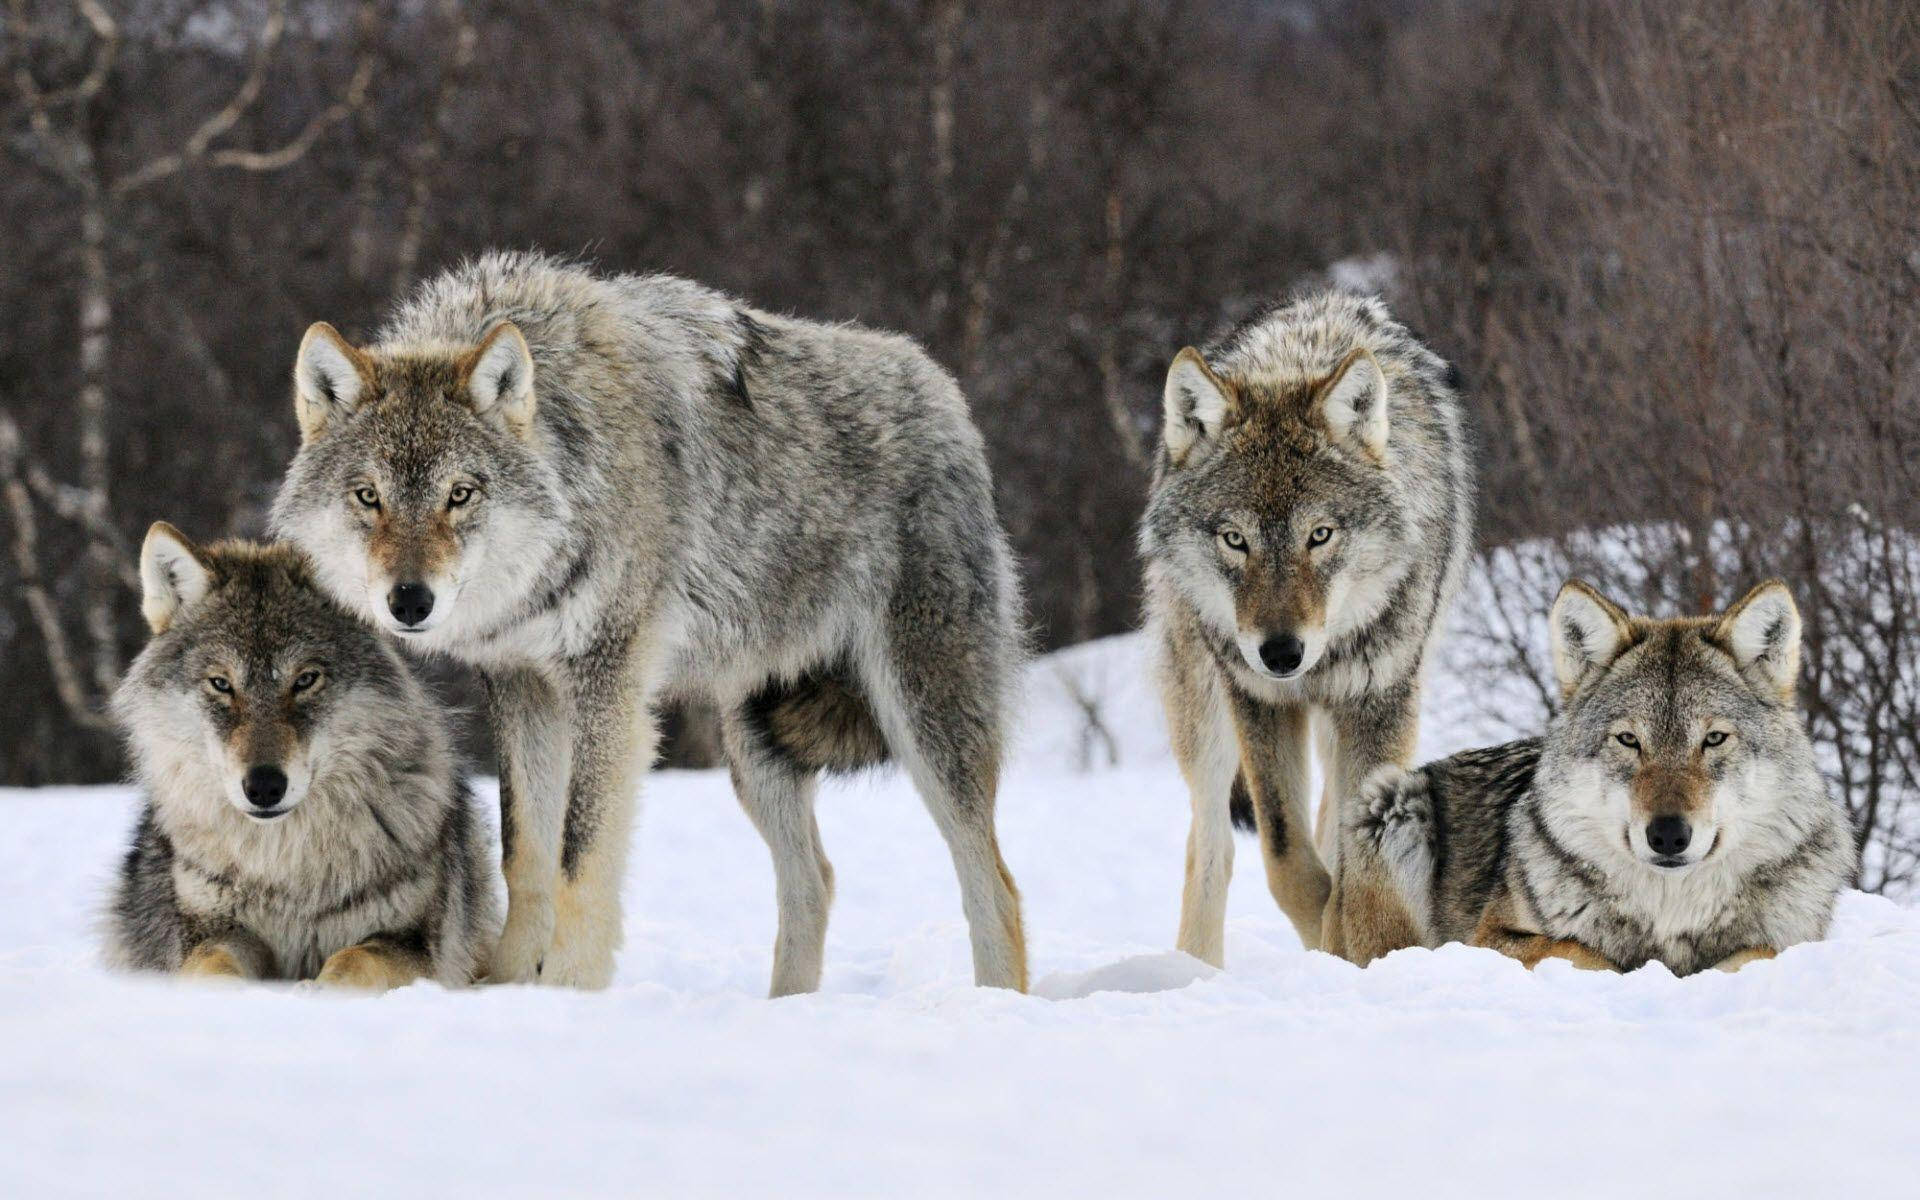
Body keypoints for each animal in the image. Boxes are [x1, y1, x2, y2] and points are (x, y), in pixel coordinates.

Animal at [105, 524, 497, 989]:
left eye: (306, 679)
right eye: (221, 684)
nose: (264, 786)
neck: (286, 868)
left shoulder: (411, 943)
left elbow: (353, 961)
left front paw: (318, 992)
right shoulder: (213, 932)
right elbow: (213, 968)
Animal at [270, 251, 1027, 994]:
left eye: (460, 494)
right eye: (368, 496)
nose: (409, 602)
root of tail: (943, 391)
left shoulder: (609, 683)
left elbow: (580, 856)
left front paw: (567, 990)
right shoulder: (522, 684)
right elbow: (525, 853)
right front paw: (509, 986)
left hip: (923, 720)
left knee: (995, 885)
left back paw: (995, 1001)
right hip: (755, 749)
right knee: (815, 880)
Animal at [1140, 292, 1472, 964]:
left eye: (1319, 535)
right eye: (1234, 539)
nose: (1281, 653)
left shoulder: (1380, 700)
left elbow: (1352, 855)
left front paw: (1351, 943)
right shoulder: (1259, 700)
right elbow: (1286, 856)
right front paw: (1327, 937)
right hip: (1203, 709)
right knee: (1210, 844)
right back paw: (1194, 969)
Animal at [1336, 579, 1857, 974]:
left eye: (1713, 739)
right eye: (1628, 740)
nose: (1668, 835)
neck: (1670, 913)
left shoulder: (1789, 942)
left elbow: (1757, 953)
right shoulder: (1490, 938)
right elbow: (1582, 951)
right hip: (1393, 802)